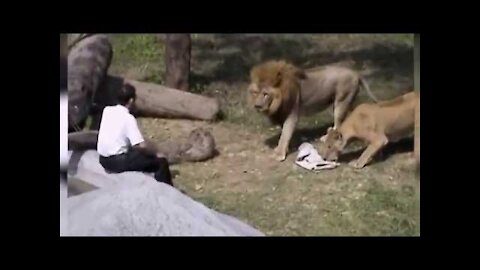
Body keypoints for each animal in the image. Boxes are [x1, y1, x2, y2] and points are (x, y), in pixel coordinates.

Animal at [248, 60, 378, 160]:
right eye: (255, 92)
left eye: (265, 94)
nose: (257, 106)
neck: (278, 100)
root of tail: (355, 73)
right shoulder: (282, 115)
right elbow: (284, 134)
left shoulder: (292, 114)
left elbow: (285, 134)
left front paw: (279, 154)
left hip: (341, 102)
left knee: (338, 123)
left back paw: (327, 137)